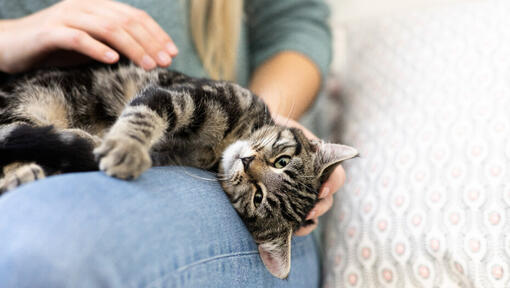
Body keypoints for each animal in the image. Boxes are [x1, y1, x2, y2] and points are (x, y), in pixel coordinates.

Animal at [0, 63, 358, 280]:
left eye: (259, 198)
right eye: (281, 161)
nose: (246, 163)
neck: (223, 144)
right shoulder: (182, 95)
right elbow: (144, 114)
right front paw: (125, 146)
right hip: (30, 103)